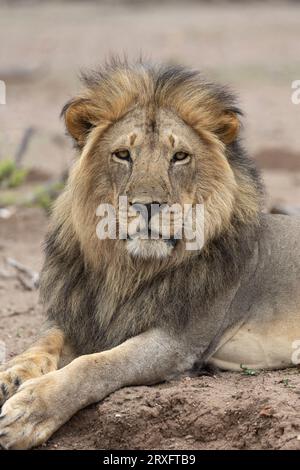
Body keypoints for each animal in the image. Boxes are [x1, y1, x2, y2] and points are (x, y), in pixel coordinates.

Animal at [0, 60, 300, 450]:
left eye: (179, 157)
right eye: (123, 155)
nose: (147, 206)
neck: (126, 269)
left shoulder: (177, 342)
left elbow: (97, 365)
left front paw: (29, 411)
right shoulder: (78, 314)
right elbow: (43, 341)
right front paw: (13, 375)